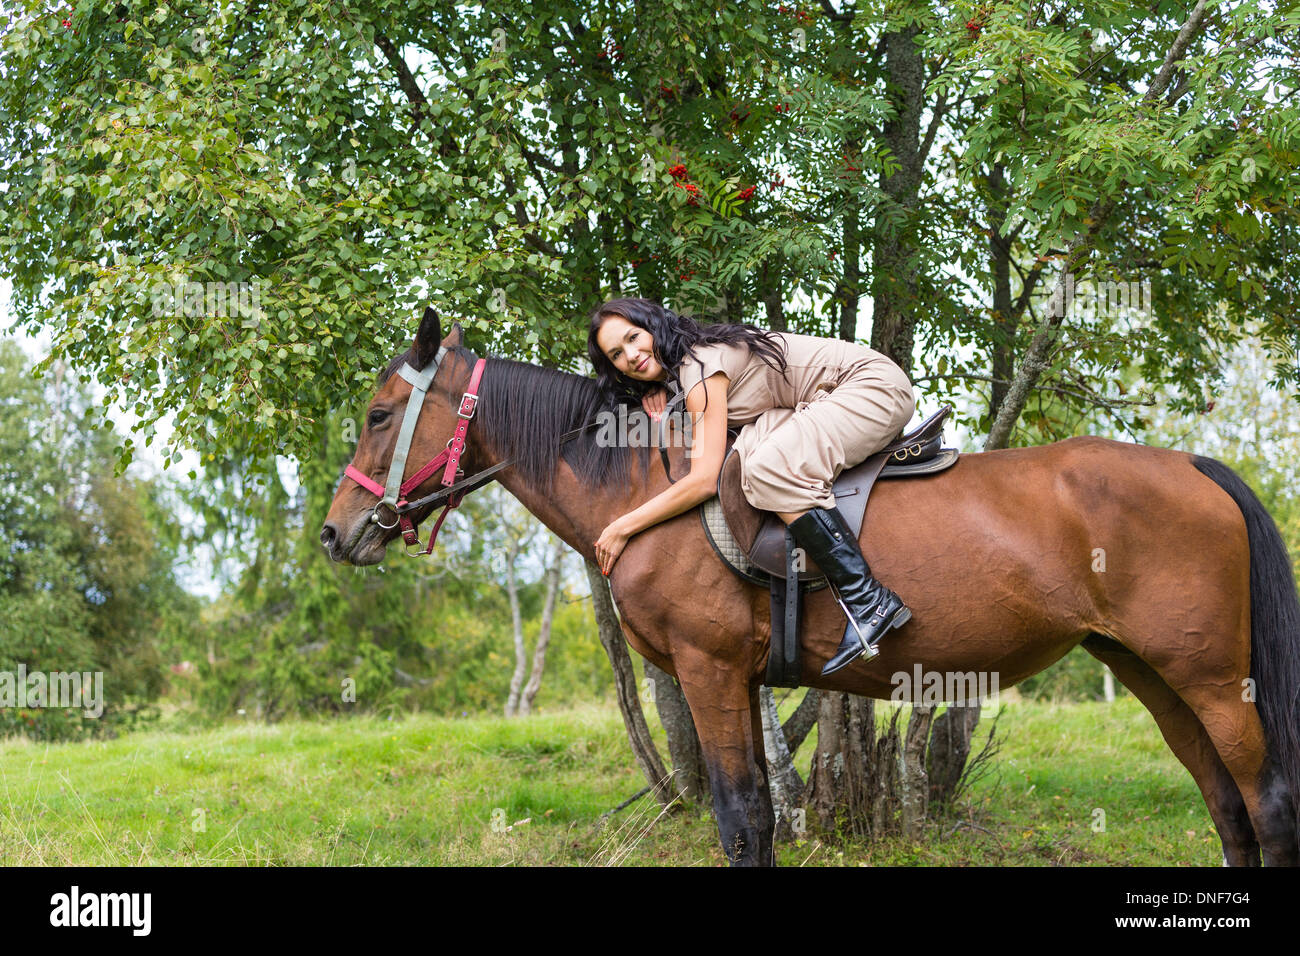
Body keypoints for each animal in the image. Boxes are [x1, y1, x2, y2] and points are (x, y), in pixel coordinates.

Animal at [319, 312, 1300, 868]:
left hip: (1214, 681)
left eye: (377, 416)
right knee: (1229, 811)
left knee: (1269, 806)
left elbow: (742, 821)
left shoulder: (710, 672)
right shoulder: (737, 682)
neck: (645, 492)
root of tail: (1192, 465)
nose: (336, 533)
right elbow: (754, 817)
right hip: (1153, 674)